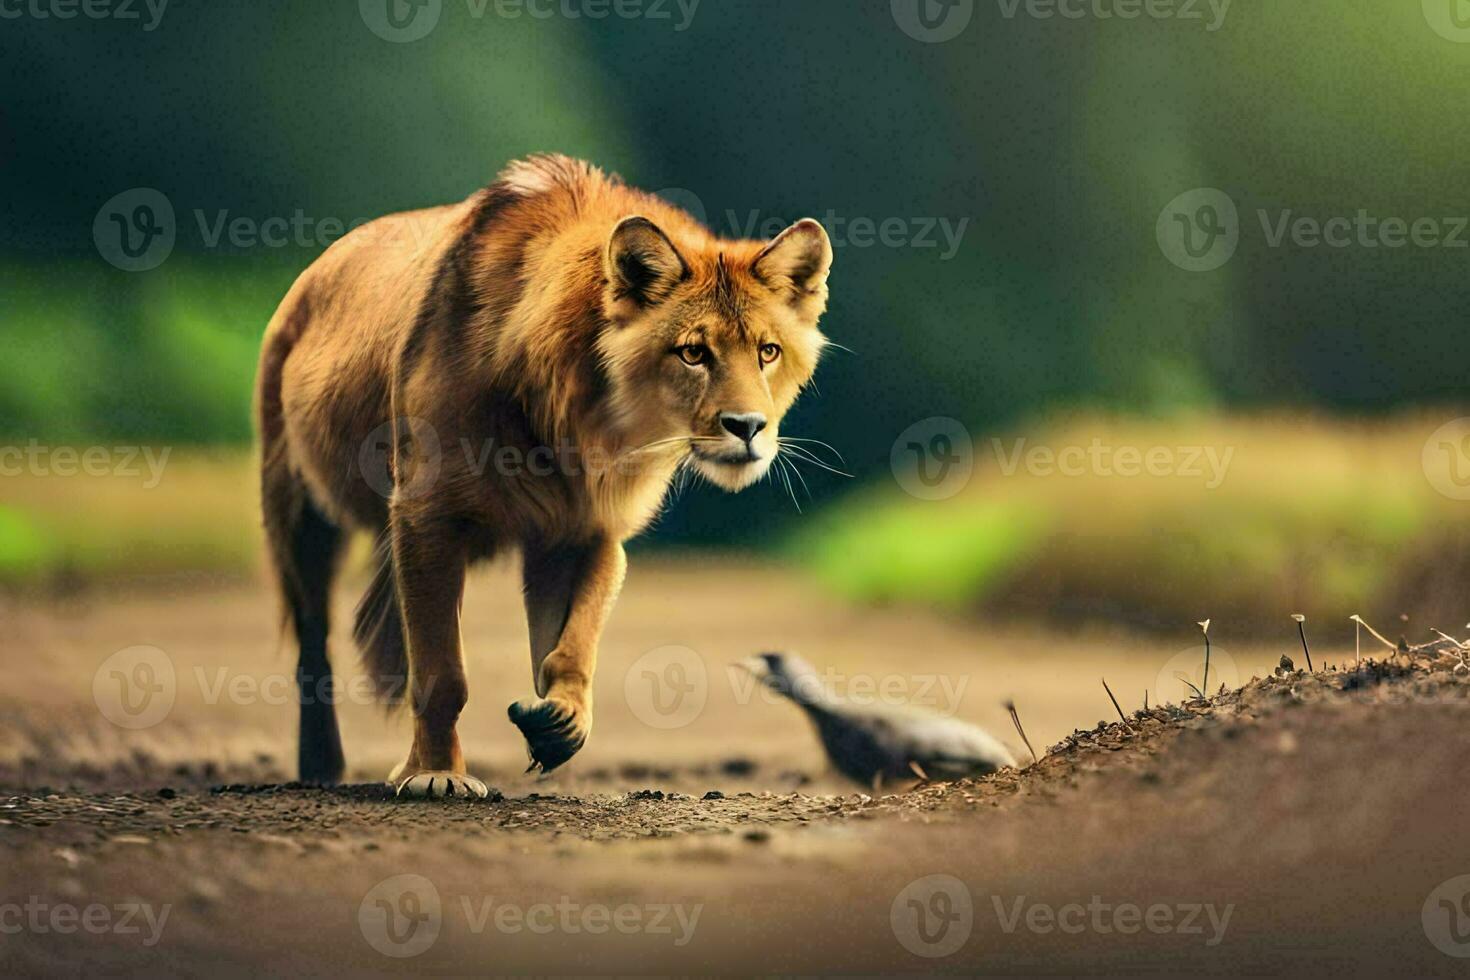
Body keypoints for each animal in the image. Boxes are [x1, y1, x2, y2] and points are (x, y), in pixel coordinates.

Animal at [257, 153, 834, 799]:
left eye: (767, 351)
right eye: (692, 353)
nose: (748, 427)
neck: (586, 418)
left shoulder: (587, 530)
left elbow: (572, 646)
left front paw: (558, 725)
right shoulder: (426, 517)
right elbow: (439, 671)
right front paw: (435, 774)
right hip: (299, 515)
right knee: (312, 647)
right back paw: (320, 766)